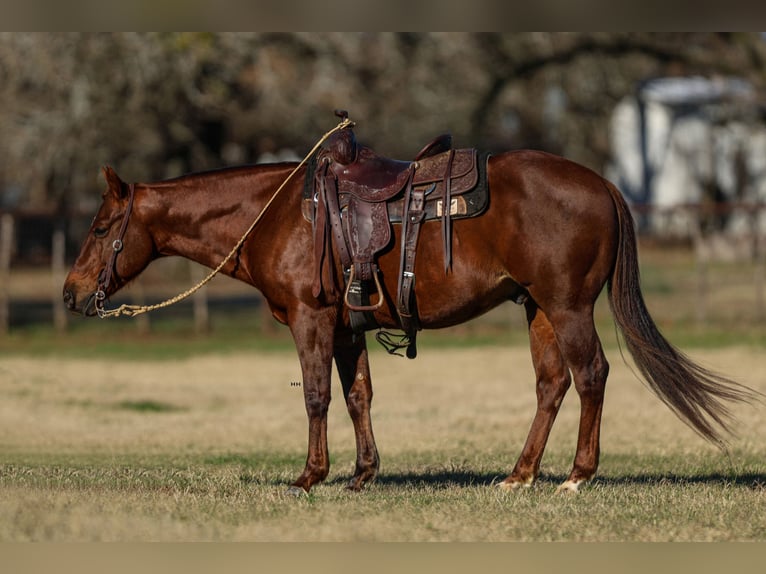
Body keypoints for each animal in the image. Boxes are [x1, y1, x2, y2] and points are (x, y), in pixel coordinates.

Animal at [63, 137, 760, 492]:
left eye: (99, 228)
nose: (70, 294)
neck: (280, 215)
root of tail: (605, 185)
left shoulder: (312, 320)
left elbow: (316, 396)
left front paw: (310, 476)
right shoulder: (348, 327)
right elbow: (358, 396)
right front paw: (362, 474)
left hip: (567, 307)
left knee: (591, 377)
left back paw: (576, 477)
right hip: (537, 308)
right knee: (552, 384)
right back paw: (520, 475)